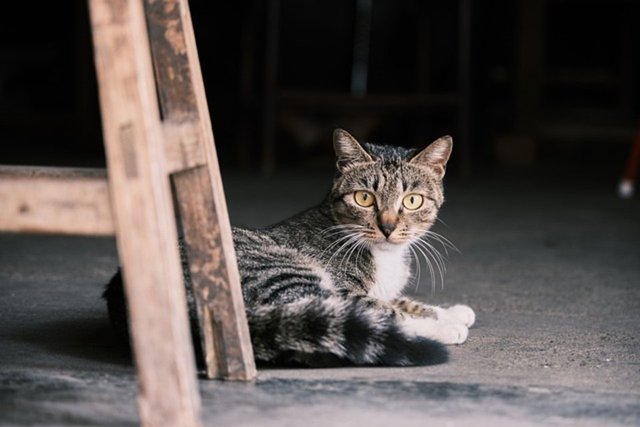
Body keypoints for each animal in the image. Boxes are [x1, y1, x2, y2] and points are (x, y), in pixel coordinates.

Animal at [104, 130, 476, 368]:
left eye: (412, 200)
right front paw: (445, 325)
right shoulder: (345, 290)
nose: (387, 227)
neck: (383, 256)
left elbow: (399, 301)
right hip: (283, 272)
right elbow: (384, 308)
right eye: (364, 198)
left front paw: (450, 311)